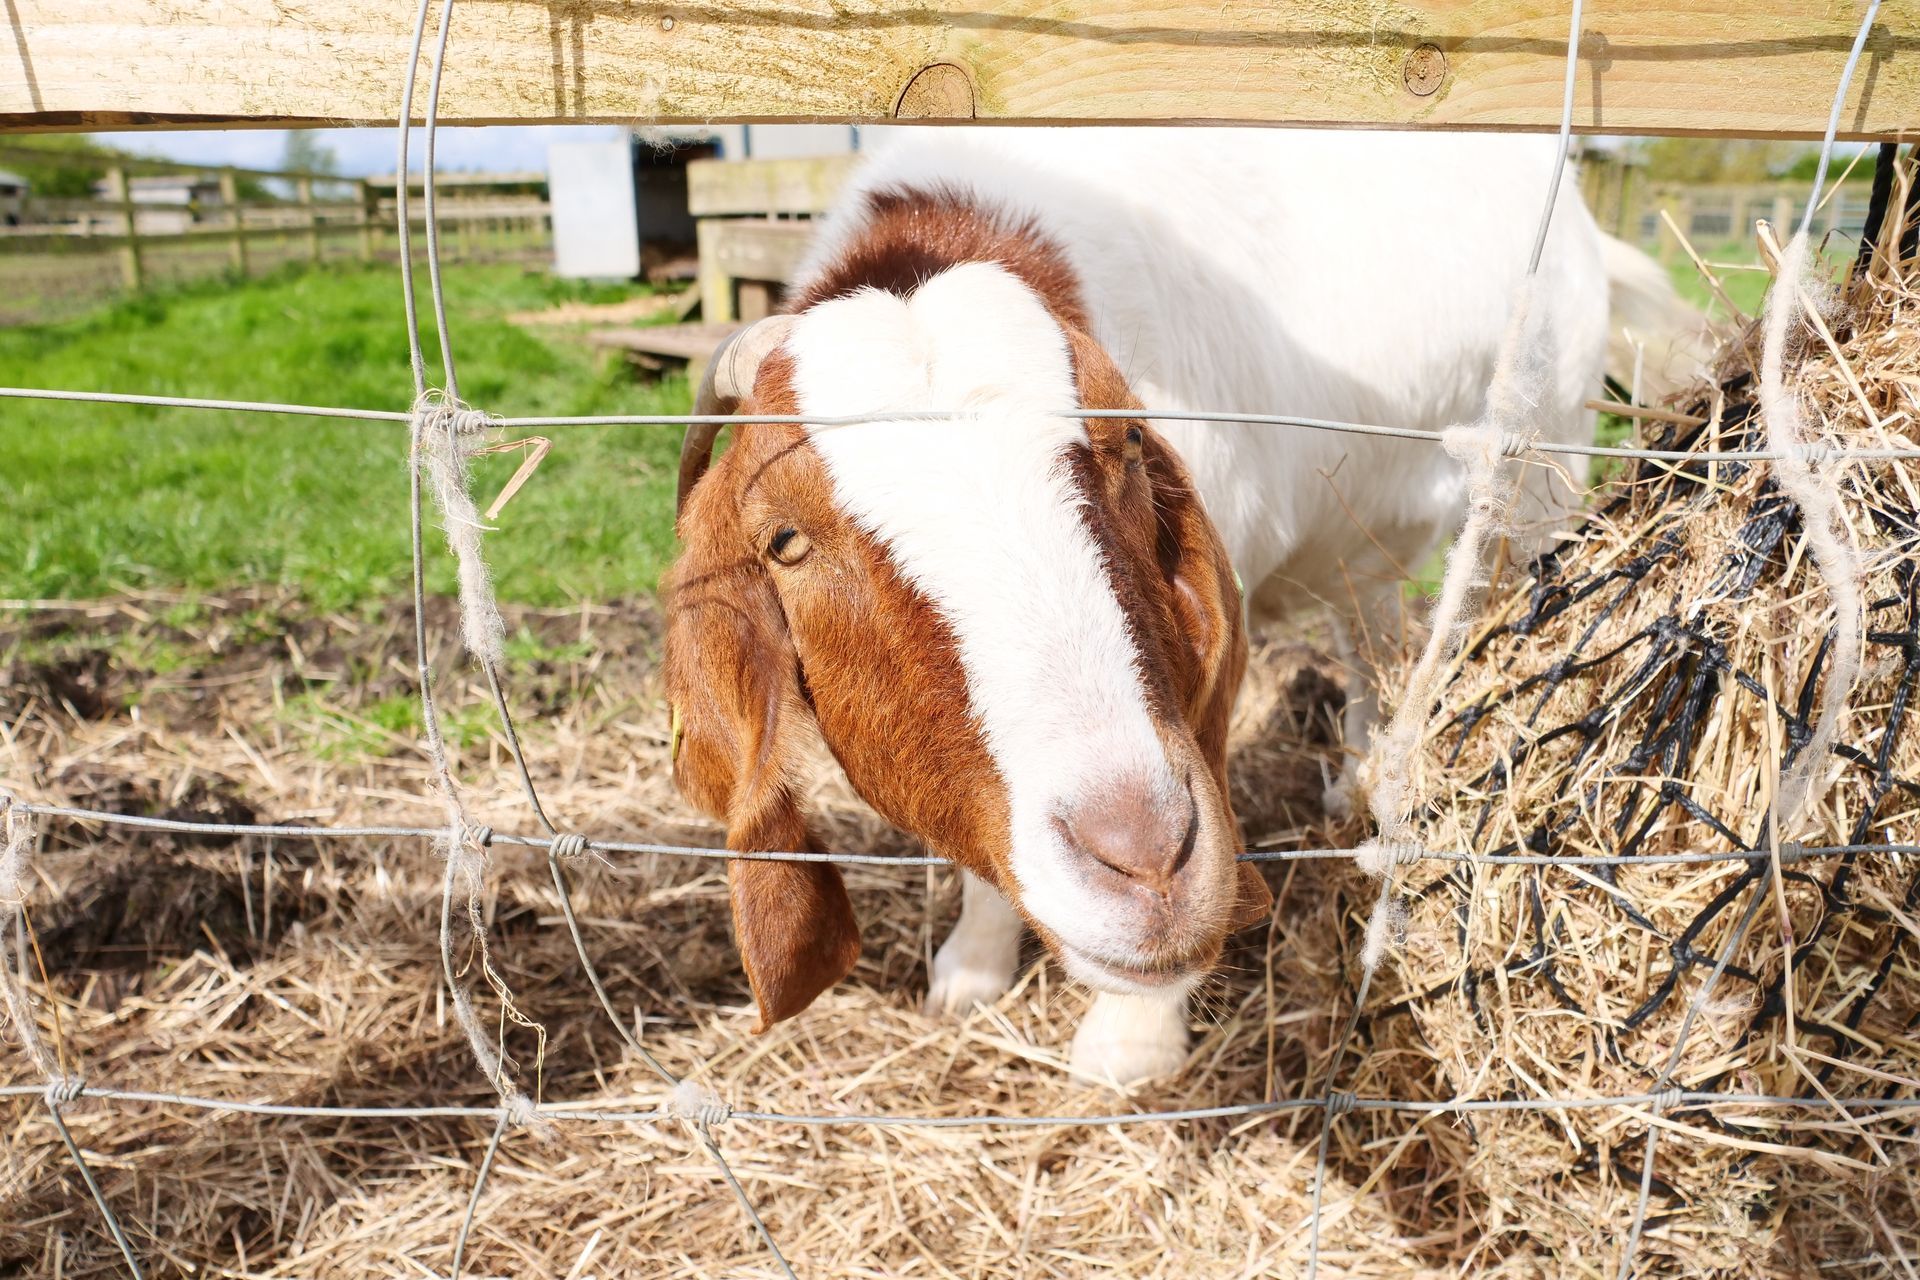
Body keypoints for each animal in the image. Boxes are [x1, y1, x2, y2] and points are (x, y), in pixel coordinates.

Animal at [665, 128, 1699, 1085]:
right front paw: (971, 970)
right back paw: (1358, 781)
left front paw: (1131, 1043)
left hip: (1542, 472)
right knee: (1365, 624)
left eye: (1125, 447)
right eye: (785, 540)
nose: (1145, 863)